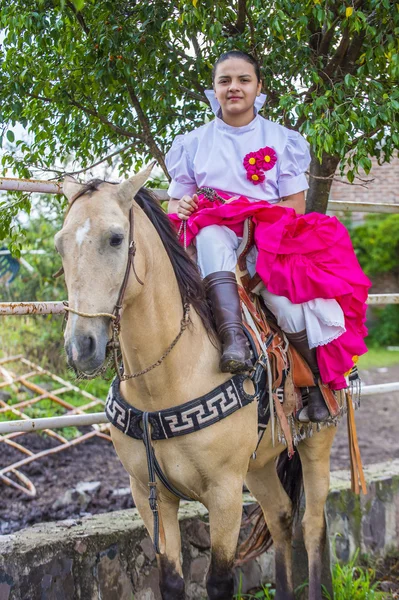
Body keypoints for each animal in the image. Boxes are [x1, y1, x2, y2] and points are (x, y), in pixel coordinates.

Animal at [56, 166, 338, 600]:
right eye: (61, 244)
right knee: (280, 516)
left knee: (312, 526)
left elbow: (219, 581)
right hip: (258, 466)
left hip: (317, 445)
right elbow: (170, 580)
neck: (164, 381)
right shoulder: (149, 494)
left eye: (116, 238)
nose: (80, 347)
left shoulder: (224, 494)